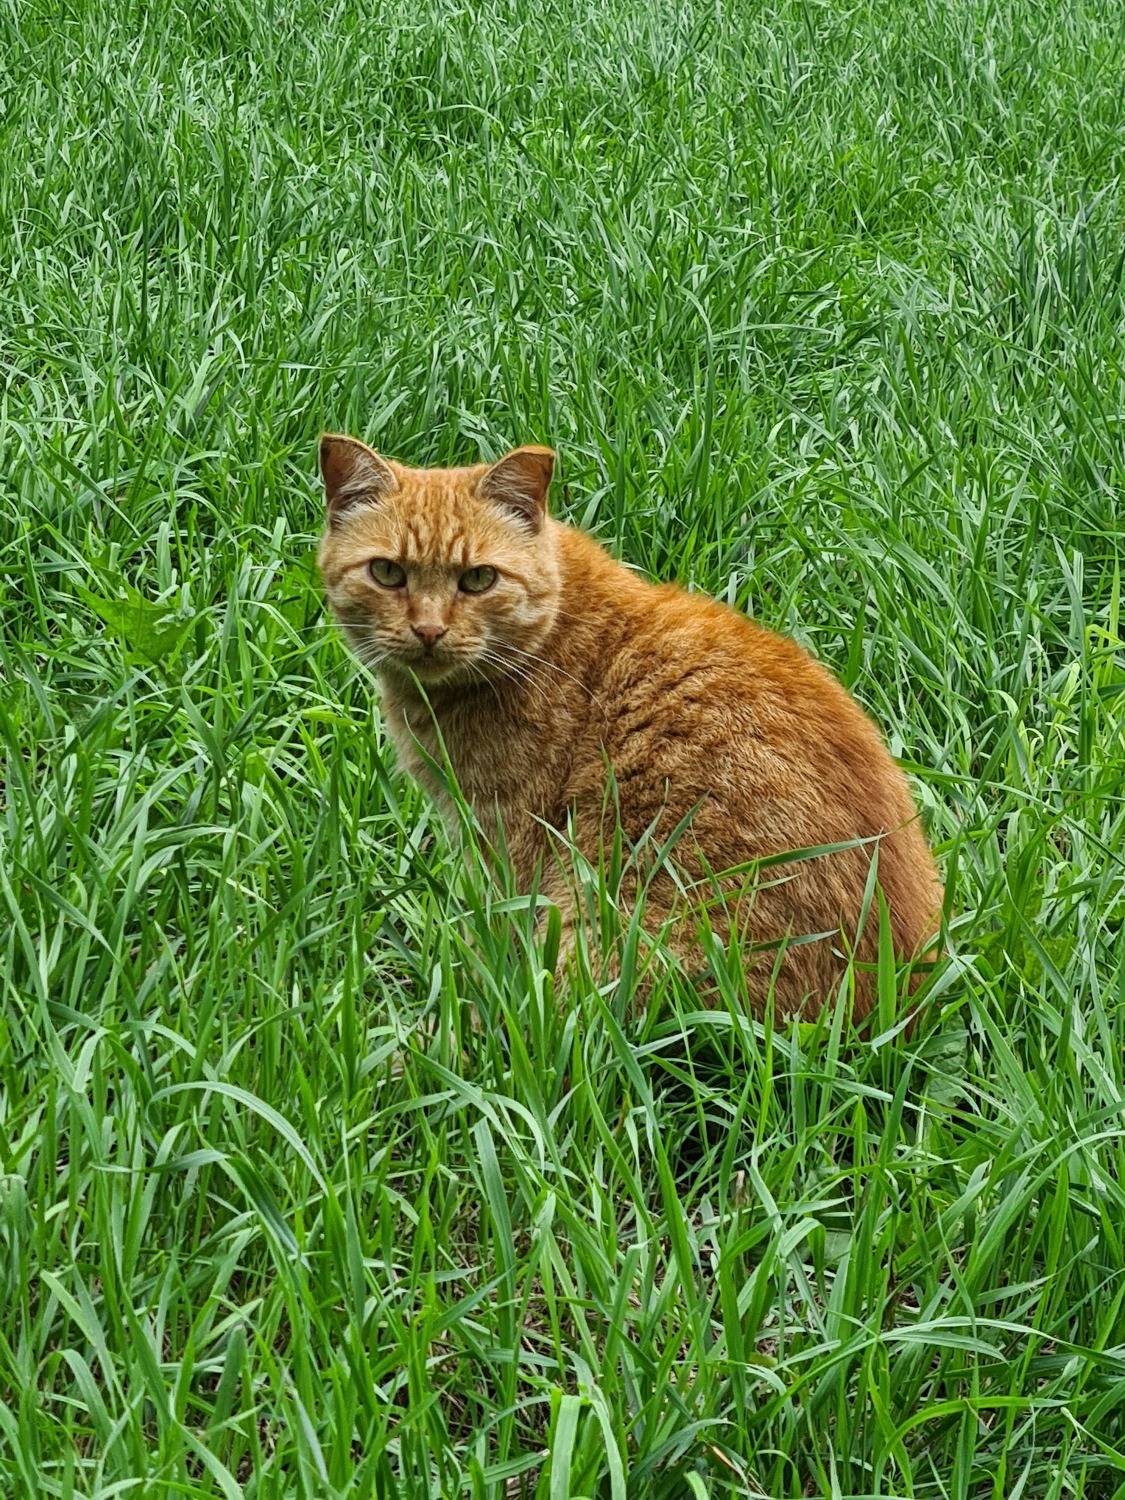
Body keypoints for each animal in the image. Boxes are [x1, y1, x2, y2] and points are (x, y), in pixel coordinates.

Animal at [318, 434, 943, 1017]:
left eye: (477, 580)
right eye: (387, 573)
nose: (427, 630)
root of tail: (887, 1007)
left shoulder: (508, 842)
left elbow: (491, 940)